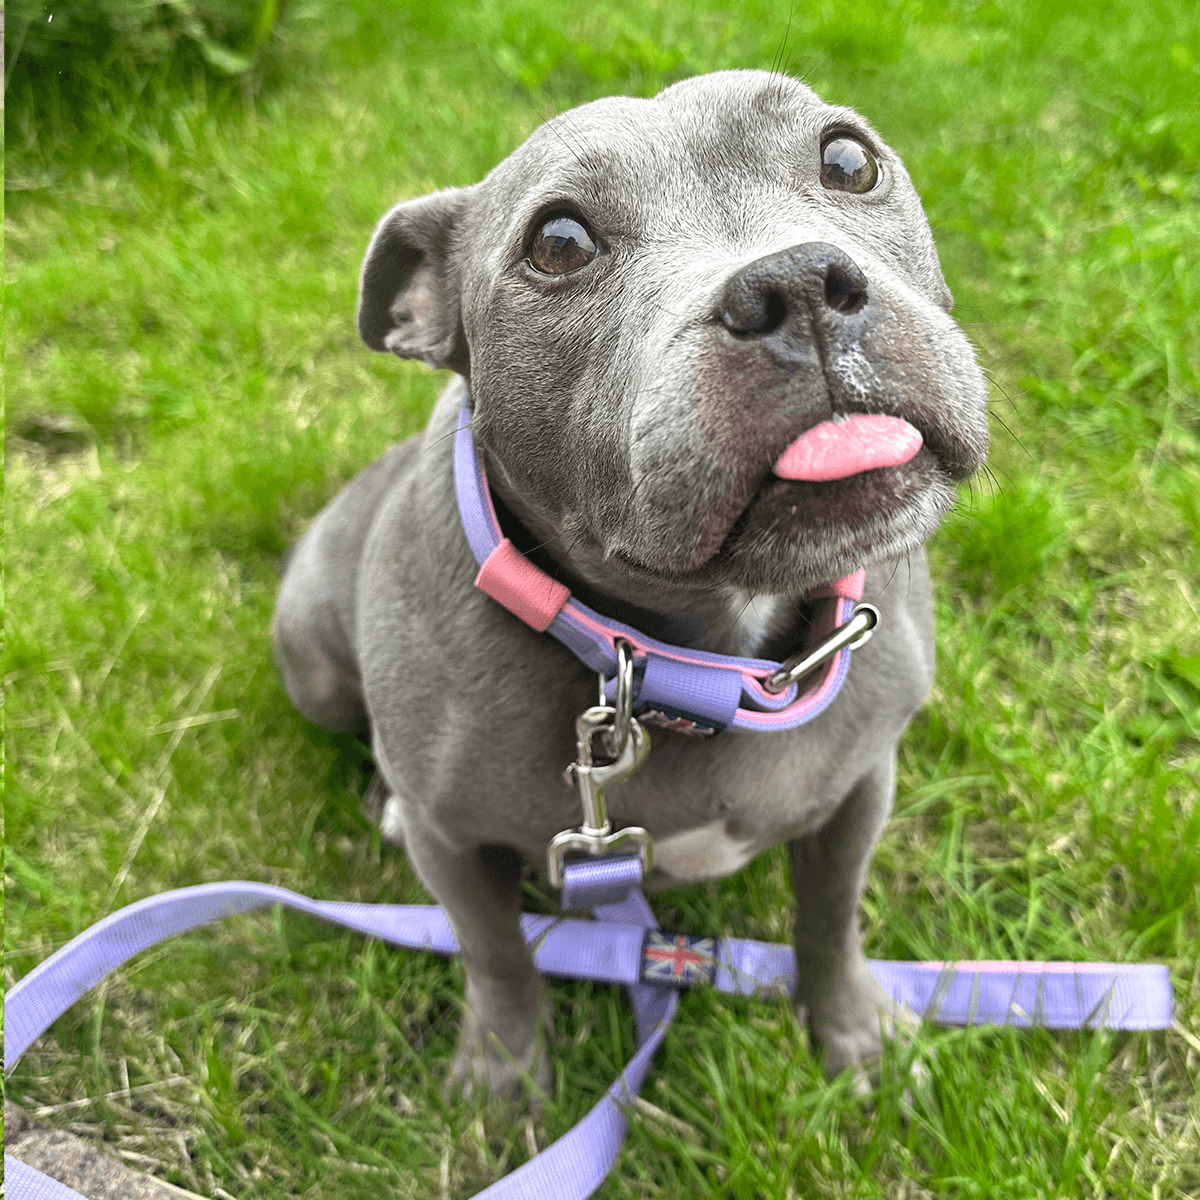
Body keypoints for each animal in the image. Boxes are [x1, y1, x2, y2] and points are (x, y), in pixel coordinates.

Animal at [276, 65, 988, 1099]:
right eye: (558, 242)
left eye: (848, 159)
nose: (794, 283)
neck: (700, 665)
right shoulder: (459, 853)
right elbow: (496, 952)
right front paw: (502, 1078)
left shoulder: (861, 788)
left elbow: (829, 917)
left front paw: (852, 1030)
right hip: (314, 664)